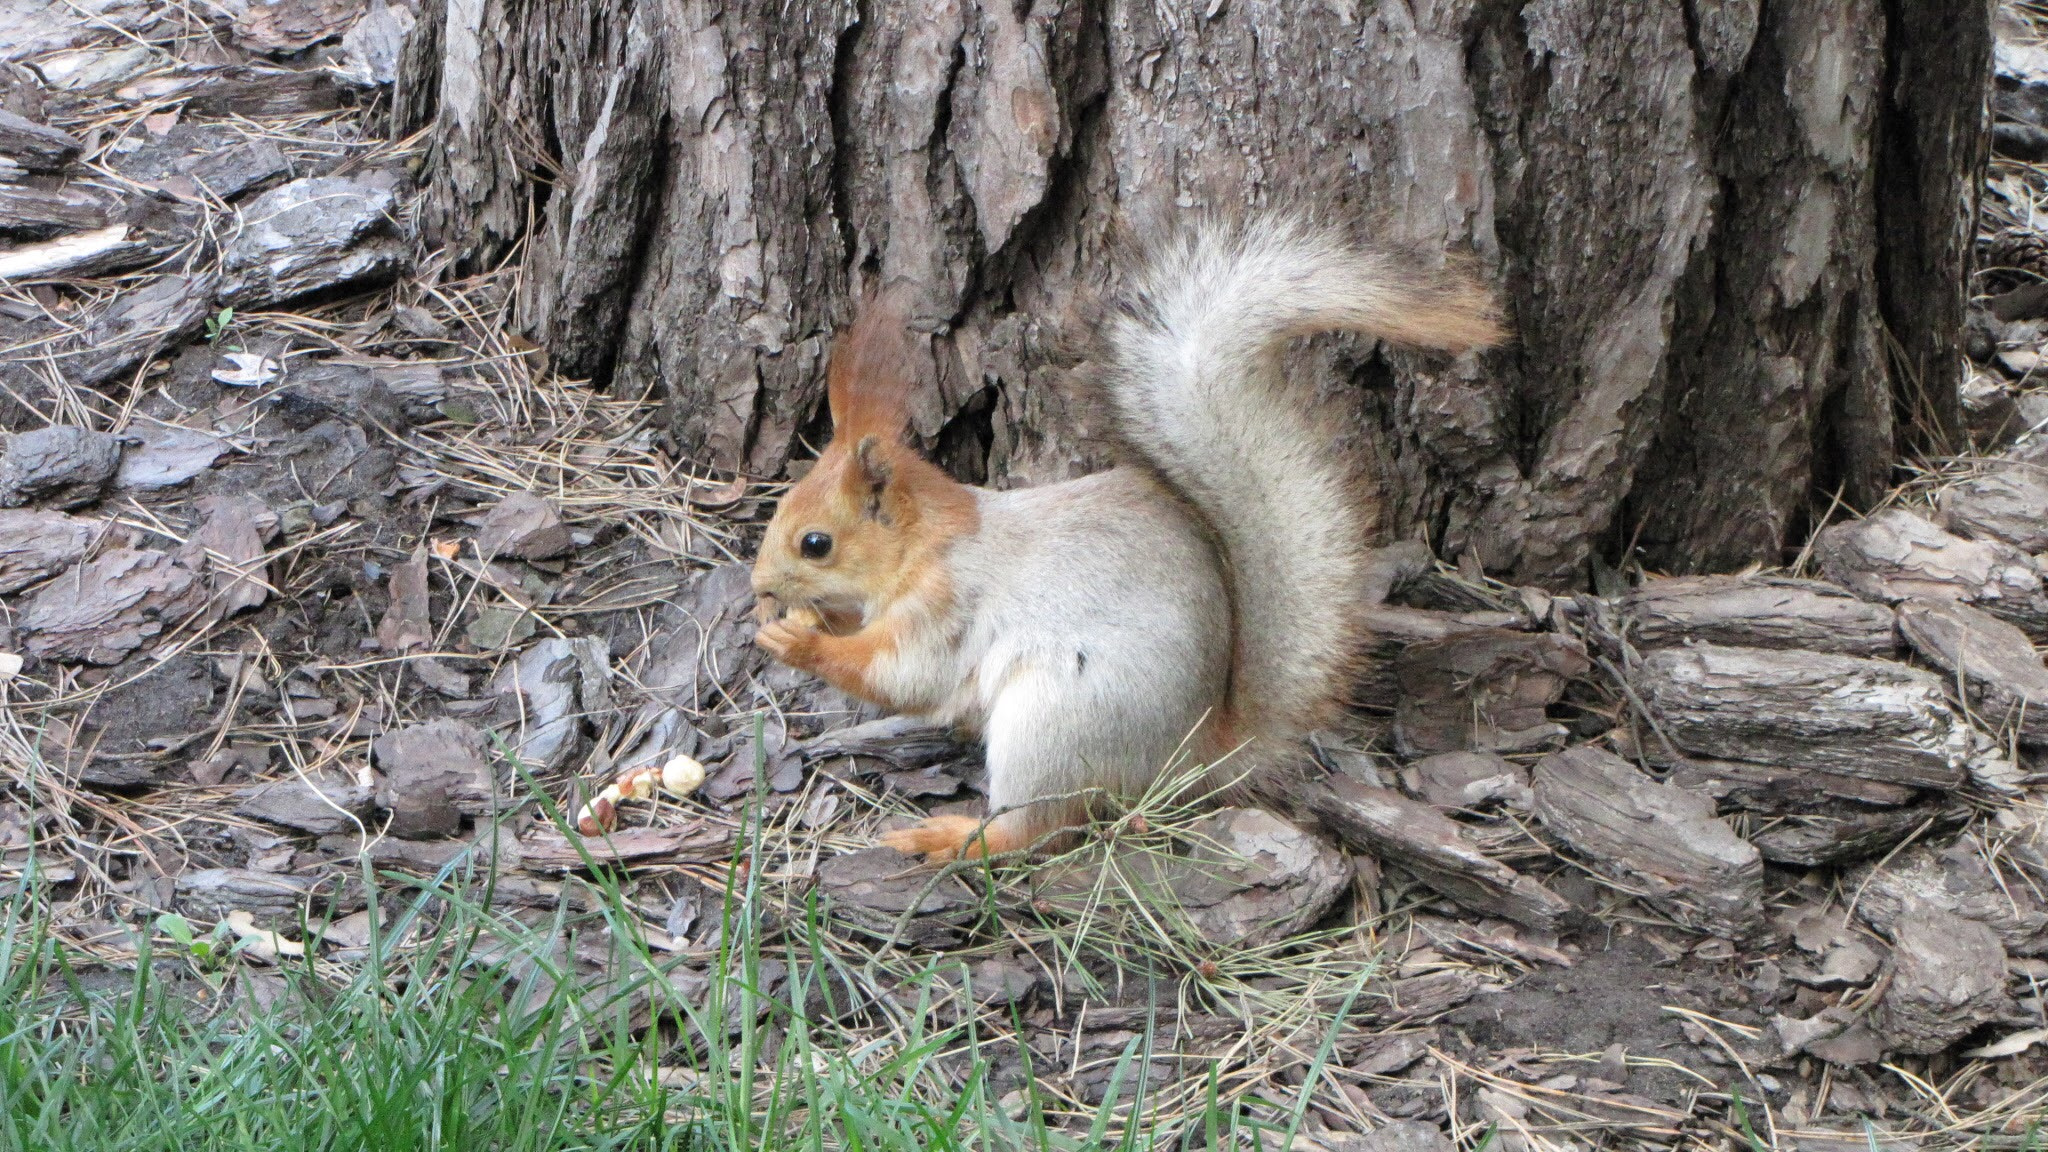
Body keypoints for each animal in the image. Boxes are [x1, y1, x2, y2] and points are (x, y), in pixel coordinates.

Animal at [753, 215, 1507, 860]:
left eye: (815, 543)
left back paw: (956, 839)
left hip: (1053, 721)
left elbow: (904, 673)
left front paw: (799, 641)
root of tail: (1192, 752)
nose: (758, 587)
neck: (927, 541)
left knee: (1040, 826)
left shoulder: (948, 602)